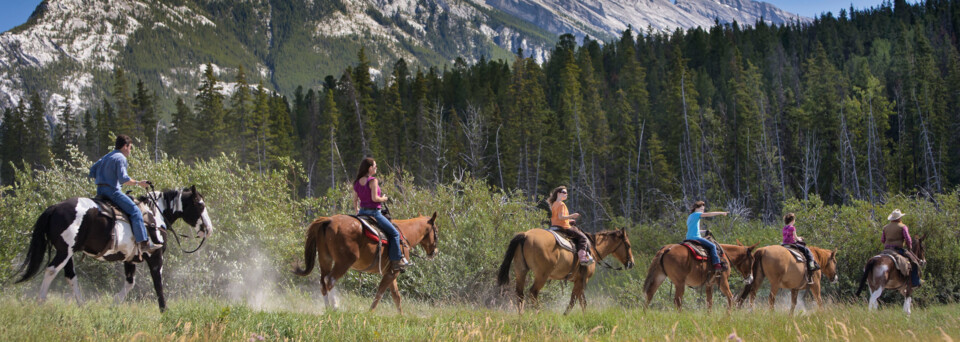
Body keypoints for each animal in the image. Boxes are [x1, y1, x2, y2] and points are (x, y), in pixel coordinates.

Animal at [13, 186, 212, 312]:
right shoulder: (155, 257)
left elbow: (130, 283)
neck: (155, 215)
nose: (209, 229)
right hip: (64, 251)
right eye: (200, 205)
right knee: (51, 270)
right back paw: (40, 302)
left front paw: (114, 304)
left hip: (67, 253)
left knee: (70, 276)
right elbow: (158, 284)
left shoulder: (130, 259)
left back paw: (82, 305)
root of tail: (54, 208)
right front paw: (164, 310)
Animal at [292, 212, 442, 314]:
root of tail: (329, 221)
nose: (434, 252)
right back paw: (335, 307)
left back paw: (328, 308)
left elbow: (396, 296)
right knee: (330, 280)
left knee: (323, 282)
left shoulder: (391, 272)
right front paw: (370, 312)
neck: (404, 234)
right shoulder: (393, 273)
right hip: (343, 262)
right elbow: (380, 294)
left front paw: (401, 316)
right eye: (436, 231)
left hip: (325, 260)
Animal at [496, 228, 636, 314]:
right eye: (628, 245)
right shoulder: (582, 280)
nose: (631, 263)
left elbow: (582, 302)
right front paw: (565, 315)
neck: (592, 249)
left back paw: (521, 315)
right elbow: (574, 300)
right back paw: (539, 312)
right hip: (542, 275)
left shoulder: (578, 280)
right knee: (533, 292)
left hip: (521, 271)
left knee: (520, 294)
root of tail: (525, 235)